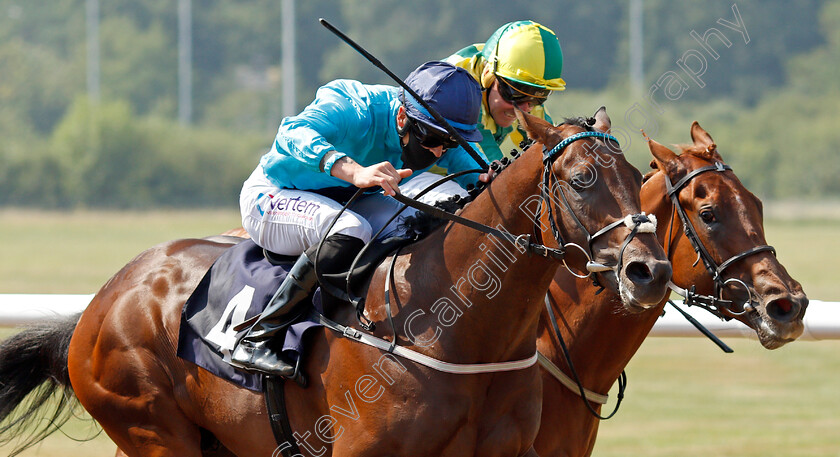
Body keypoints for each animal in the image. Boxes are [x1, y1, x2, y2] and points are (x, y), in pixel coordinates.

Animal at [0, 108, 668, 456]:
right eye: (581, 179)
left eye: (639, 177)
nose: (650, 271)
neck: (453, 330)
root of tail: (99, 303)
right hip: (154, 429)